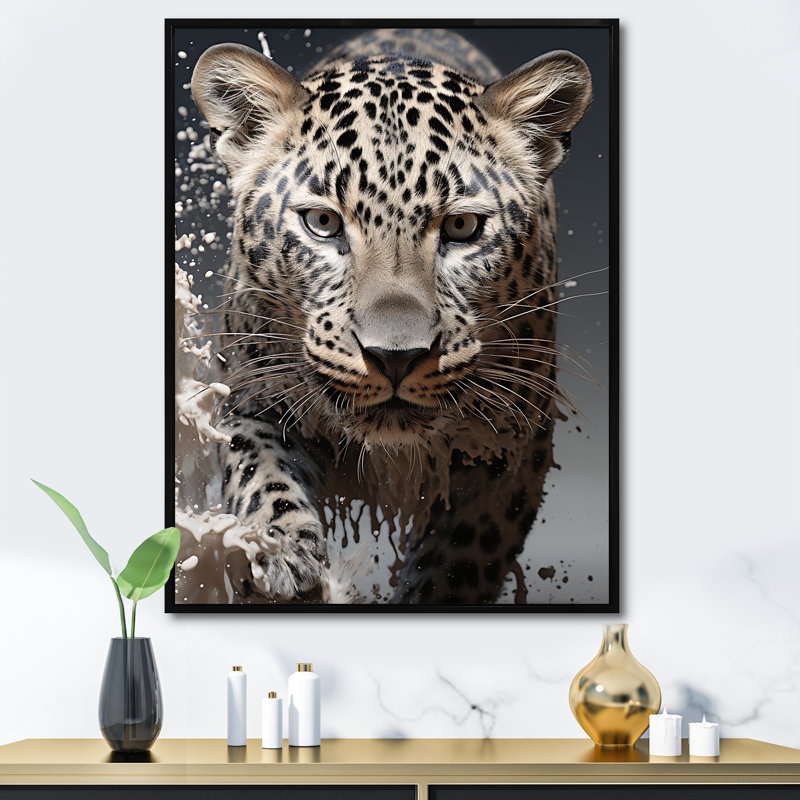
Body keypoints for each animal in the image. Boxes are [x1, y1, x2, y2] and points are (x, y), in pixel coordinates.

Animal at [189, 28, 592, 604]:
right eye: (322, 222)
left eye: (463, 227)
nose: (394, 358)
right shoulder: (253, 396)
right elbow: (259, 470)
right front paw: (282, 552)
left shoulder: (510, 451)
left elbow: (460, 562)